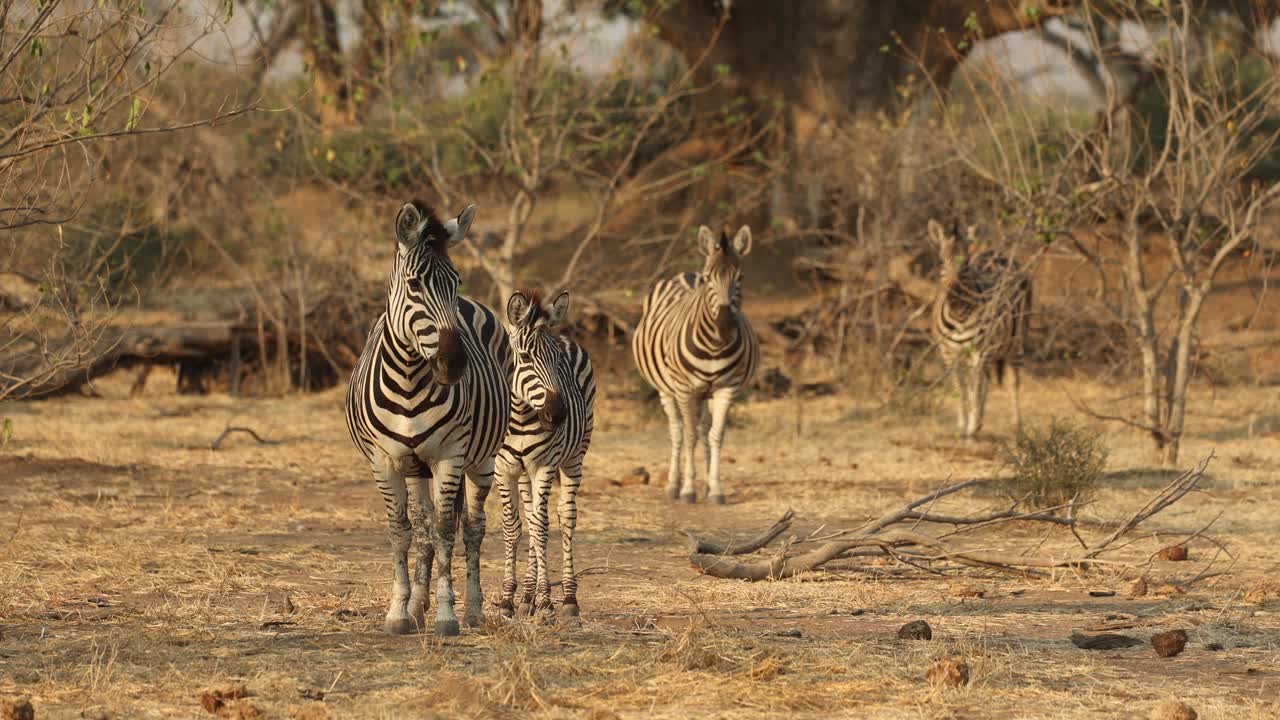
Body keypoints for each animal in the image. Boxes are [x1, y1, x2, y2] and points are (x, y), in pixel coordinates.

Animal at [345, 200, 512, 636]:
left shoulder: (449, 456)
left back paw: (473, 610)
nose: (453, 365)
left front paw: (447, 615)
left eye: (455, 282)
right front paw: (400, 611)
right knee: (421, 530)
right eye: (415, 285)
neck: (408, 379)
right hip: (416, 466)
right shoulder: (384, 461)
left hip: (482, 460)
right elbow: (402, 532)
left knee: (471, 528)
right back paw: (418, 605)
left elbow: (444, 532)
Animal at [494, 289, 595, 620]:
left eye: (558, 360)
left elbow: (541, 527)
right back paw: (526, 596)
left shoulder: (545, 466)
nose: (559, 414)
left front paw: (546, 602)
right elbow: (513, 526)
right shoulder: (503, 468)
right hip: (524, 471)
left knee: (565, 518)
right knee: (529, 515)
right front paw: (509, 599)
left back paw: (568, 599)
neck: (521, 418)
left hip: (575, 457)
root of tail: (564, 335)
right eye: (524, 358)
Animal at [632, 225, 759, 504]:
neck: (714, 345)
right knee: (678, 432)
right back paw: (673, 485)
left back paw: (708, 485)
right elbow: (689, 437)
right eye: (709, 278)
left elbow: (716, 436)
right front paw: (688, 490)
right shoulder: (685, 389)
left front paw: (716, 489)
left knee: (703, 431)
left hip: (706, 394)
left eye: (741, 277)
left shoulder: (726, 389)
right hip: (667, 390)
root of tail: (686, 274)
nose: (725, 325)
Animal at [927, 219, 1032, 441]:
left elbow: (974, 390)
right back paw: (980, 423)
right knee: (987, 380)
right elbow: (961, 388)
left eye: (966, 264)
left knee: (1013, 382)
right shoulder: (949, 354)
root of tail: (997, 252)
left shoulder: (979, 351)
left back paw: (1016, 428)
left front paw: (970, 429)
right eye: (941, 262)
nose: (953, 294)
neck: (959, 315)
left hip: (1016, 342)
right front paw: (963, 426)